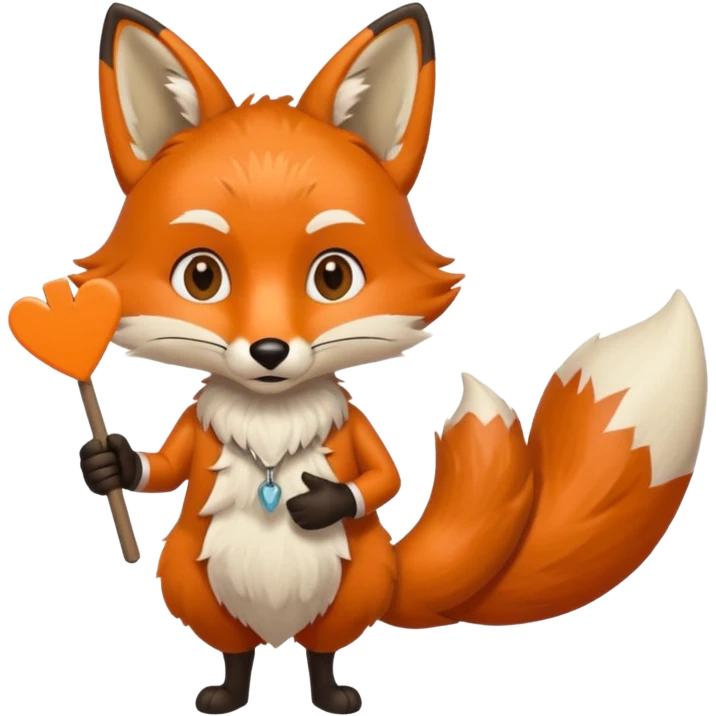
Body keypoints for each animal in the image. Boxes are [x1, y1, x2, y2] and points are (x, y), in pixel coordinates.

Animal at [74, 2, 709, 714]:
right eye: (202, 277)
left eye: (333, 276)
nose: (269, 350)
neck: (270, 422)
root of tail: (278, 631)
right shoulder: (193, 441)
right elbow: (160, 468)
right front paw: (108, 462)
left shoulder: (357, 436)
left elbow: (381, 479)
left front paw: (322, 503)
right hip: (189, 581)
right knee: (236, 651)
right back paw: (228, 693)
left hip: (358, 583)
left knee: (322, 651)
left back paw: (331, 694)